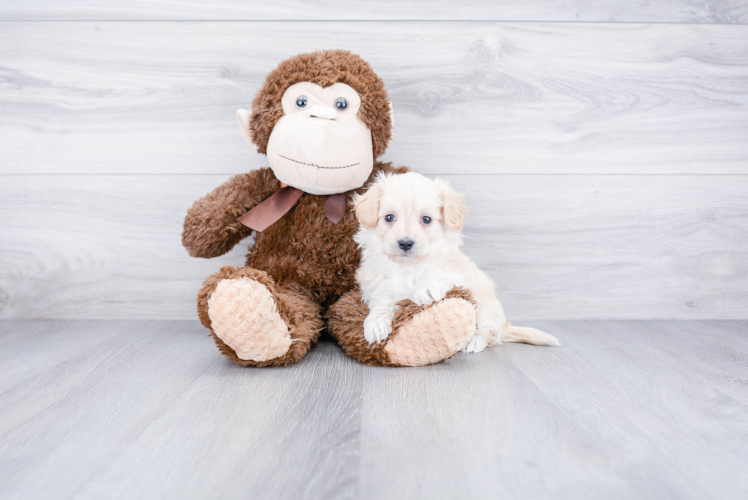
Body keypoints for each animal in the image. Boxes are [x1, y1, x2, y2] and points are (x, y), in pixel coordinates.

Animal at [354, 174, 560, 354]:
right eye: (389, 217)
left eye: (426, 219)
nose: (405, 243)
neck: (408, 266)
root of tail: (504, 326)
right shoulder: (377, 284)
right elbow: (382, 300)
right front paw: (376, 323)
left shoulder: (457, 276)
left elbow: (441, 277)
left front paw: (427, 289)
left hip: (487, 310)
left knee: (490, 334)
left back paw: (475, 342)